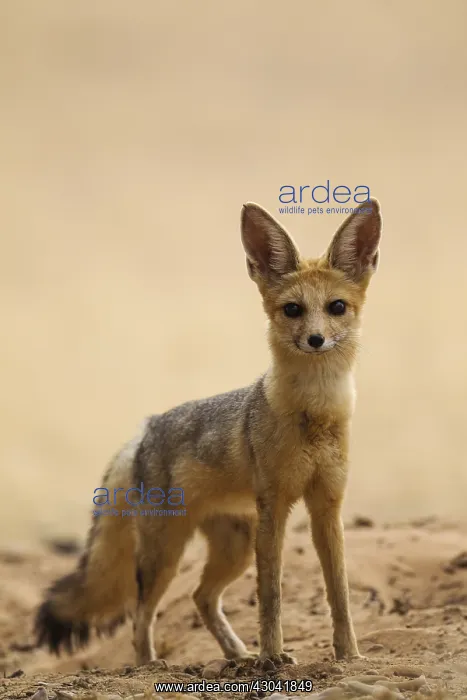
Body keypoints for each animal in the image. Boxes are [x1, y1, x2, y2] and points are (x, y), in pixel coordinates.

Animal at [35, 199, 382, 667]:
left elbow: (340, 593)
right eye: (293, 309)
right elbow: (271, 596)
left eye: (336, 307)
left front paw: (349, 654)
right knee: (140, 614)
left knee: (200, 597)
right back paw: (151, 664)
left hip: (232, 550)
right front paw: (272, 656)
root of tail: (146, 427)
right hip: (166, 554)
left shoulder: (327, 506)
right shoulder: (274, 508)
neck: (314, 412)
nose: (315, 339)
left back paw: (237, 655)